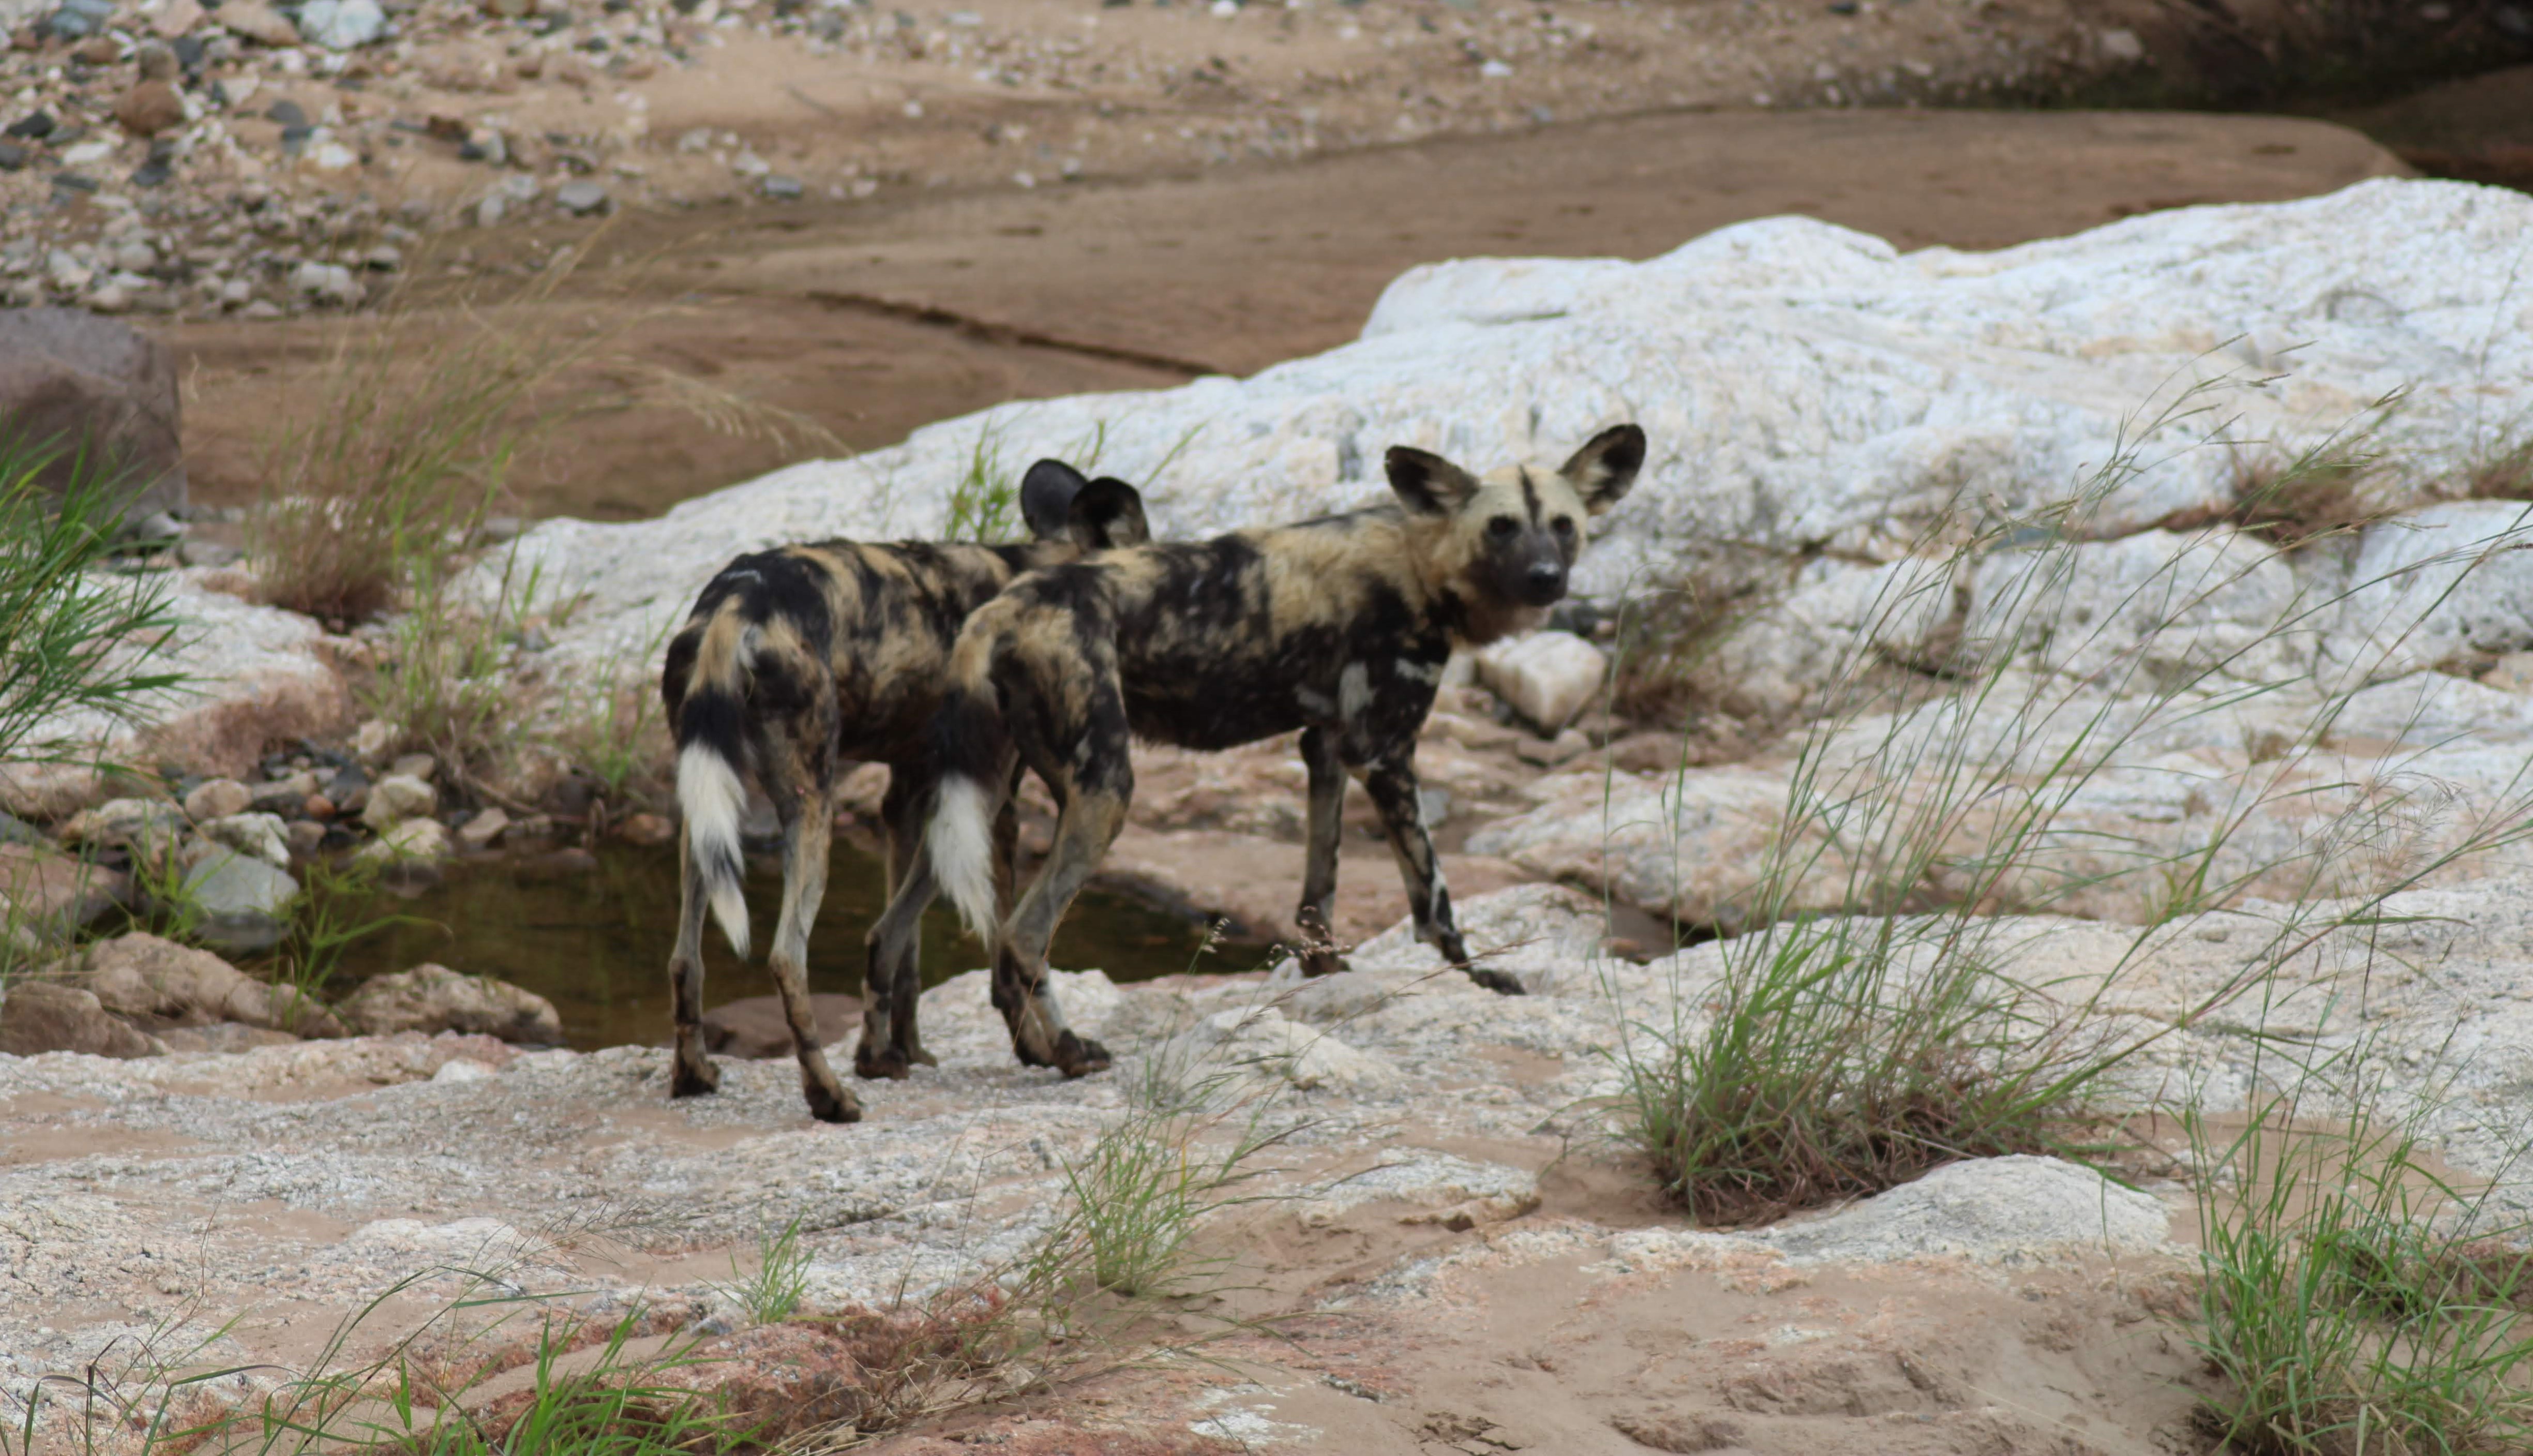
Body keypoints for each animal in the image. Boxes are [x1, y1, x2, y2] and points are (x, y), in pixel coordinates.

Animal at [668, 461, 1155, 1124]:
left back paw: (693, 1074)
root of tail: (734, 603)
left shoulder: (908, 797)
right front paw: (1040, 1050)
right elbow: (1001, 951)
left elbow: (901, 951)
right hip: (810, 805)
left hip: (703, 806)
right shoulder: (991, 806)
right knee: (786, 955)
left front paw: (894, 1053)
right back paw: (829, 1096)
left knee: (685, 958)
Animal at [922, 420, 1651, 1073]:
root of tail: (1002, 608)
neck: (1418, 558)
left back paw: (1034, 1051)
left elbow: (1317, 891)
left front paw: (1328, 970)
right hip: (1105, 791)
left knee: (998, 941)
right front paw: (1477, 979)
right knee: (1025, 933)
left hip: (1012, 797)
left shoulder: (1327, 747)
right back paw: (1071, 1051)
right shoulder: (1385, 753)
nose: (1545, 577)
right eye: (1501, 527)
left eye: (1562, 525)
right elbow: (1434, 899)